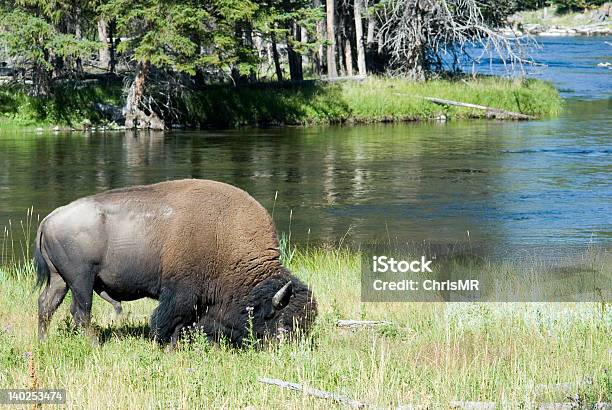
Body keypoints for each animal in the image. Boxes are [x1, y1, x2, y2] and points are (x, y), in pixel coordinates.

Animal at [35, 179, 318, 346]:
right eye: (283, 323)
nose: (287, 349)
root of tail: (50, 218)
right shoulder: (181, 292)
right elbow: (170, 319)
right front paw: (168, 345)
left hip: (61, 279)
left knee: (46, 305)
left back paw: (43, 341)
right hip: (81, 280)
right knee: (81, 312)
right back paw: (94, 344)